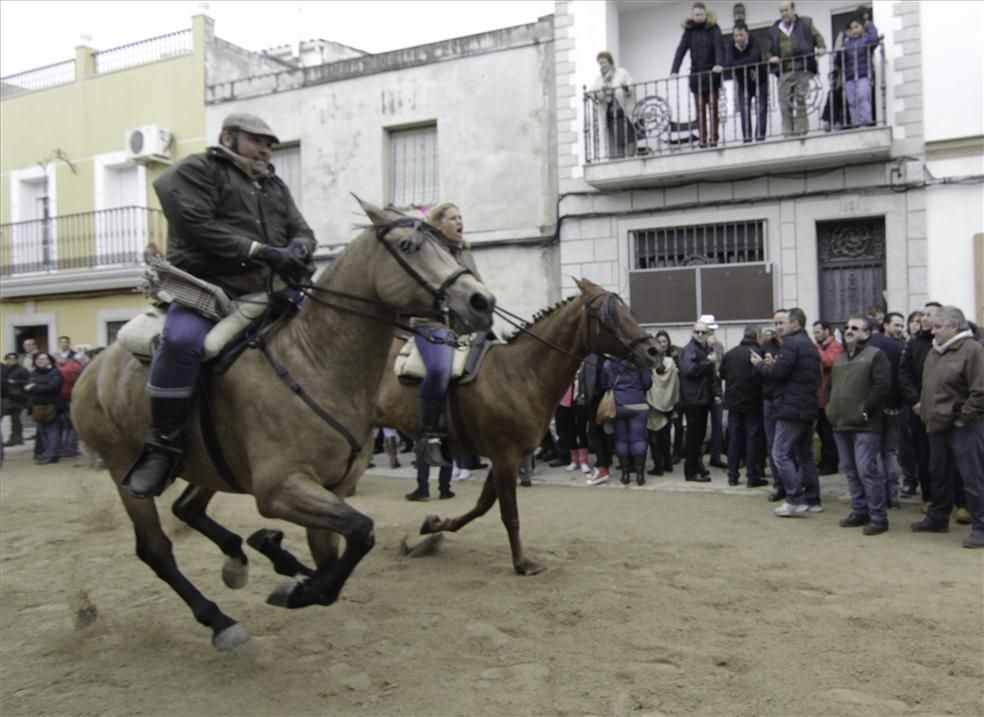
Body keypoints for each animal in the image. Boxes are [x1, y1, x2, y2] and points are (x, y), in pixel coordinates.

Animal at [73, 200, 496, 648]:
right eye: (409, 246)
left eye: (448, 247)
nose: (481, 301)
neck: (312, 361)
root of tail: (92, 367)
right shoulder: (280, 489)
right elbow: (360, 531)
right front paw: (294, 581)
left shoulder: (331, 489)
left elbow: (335, 558)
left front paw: (285, 564)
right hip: (125, 471)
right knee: (155, 548)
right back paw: (218, 619)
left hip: (210, 466)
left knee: (186, 508)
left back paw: (239, 558)